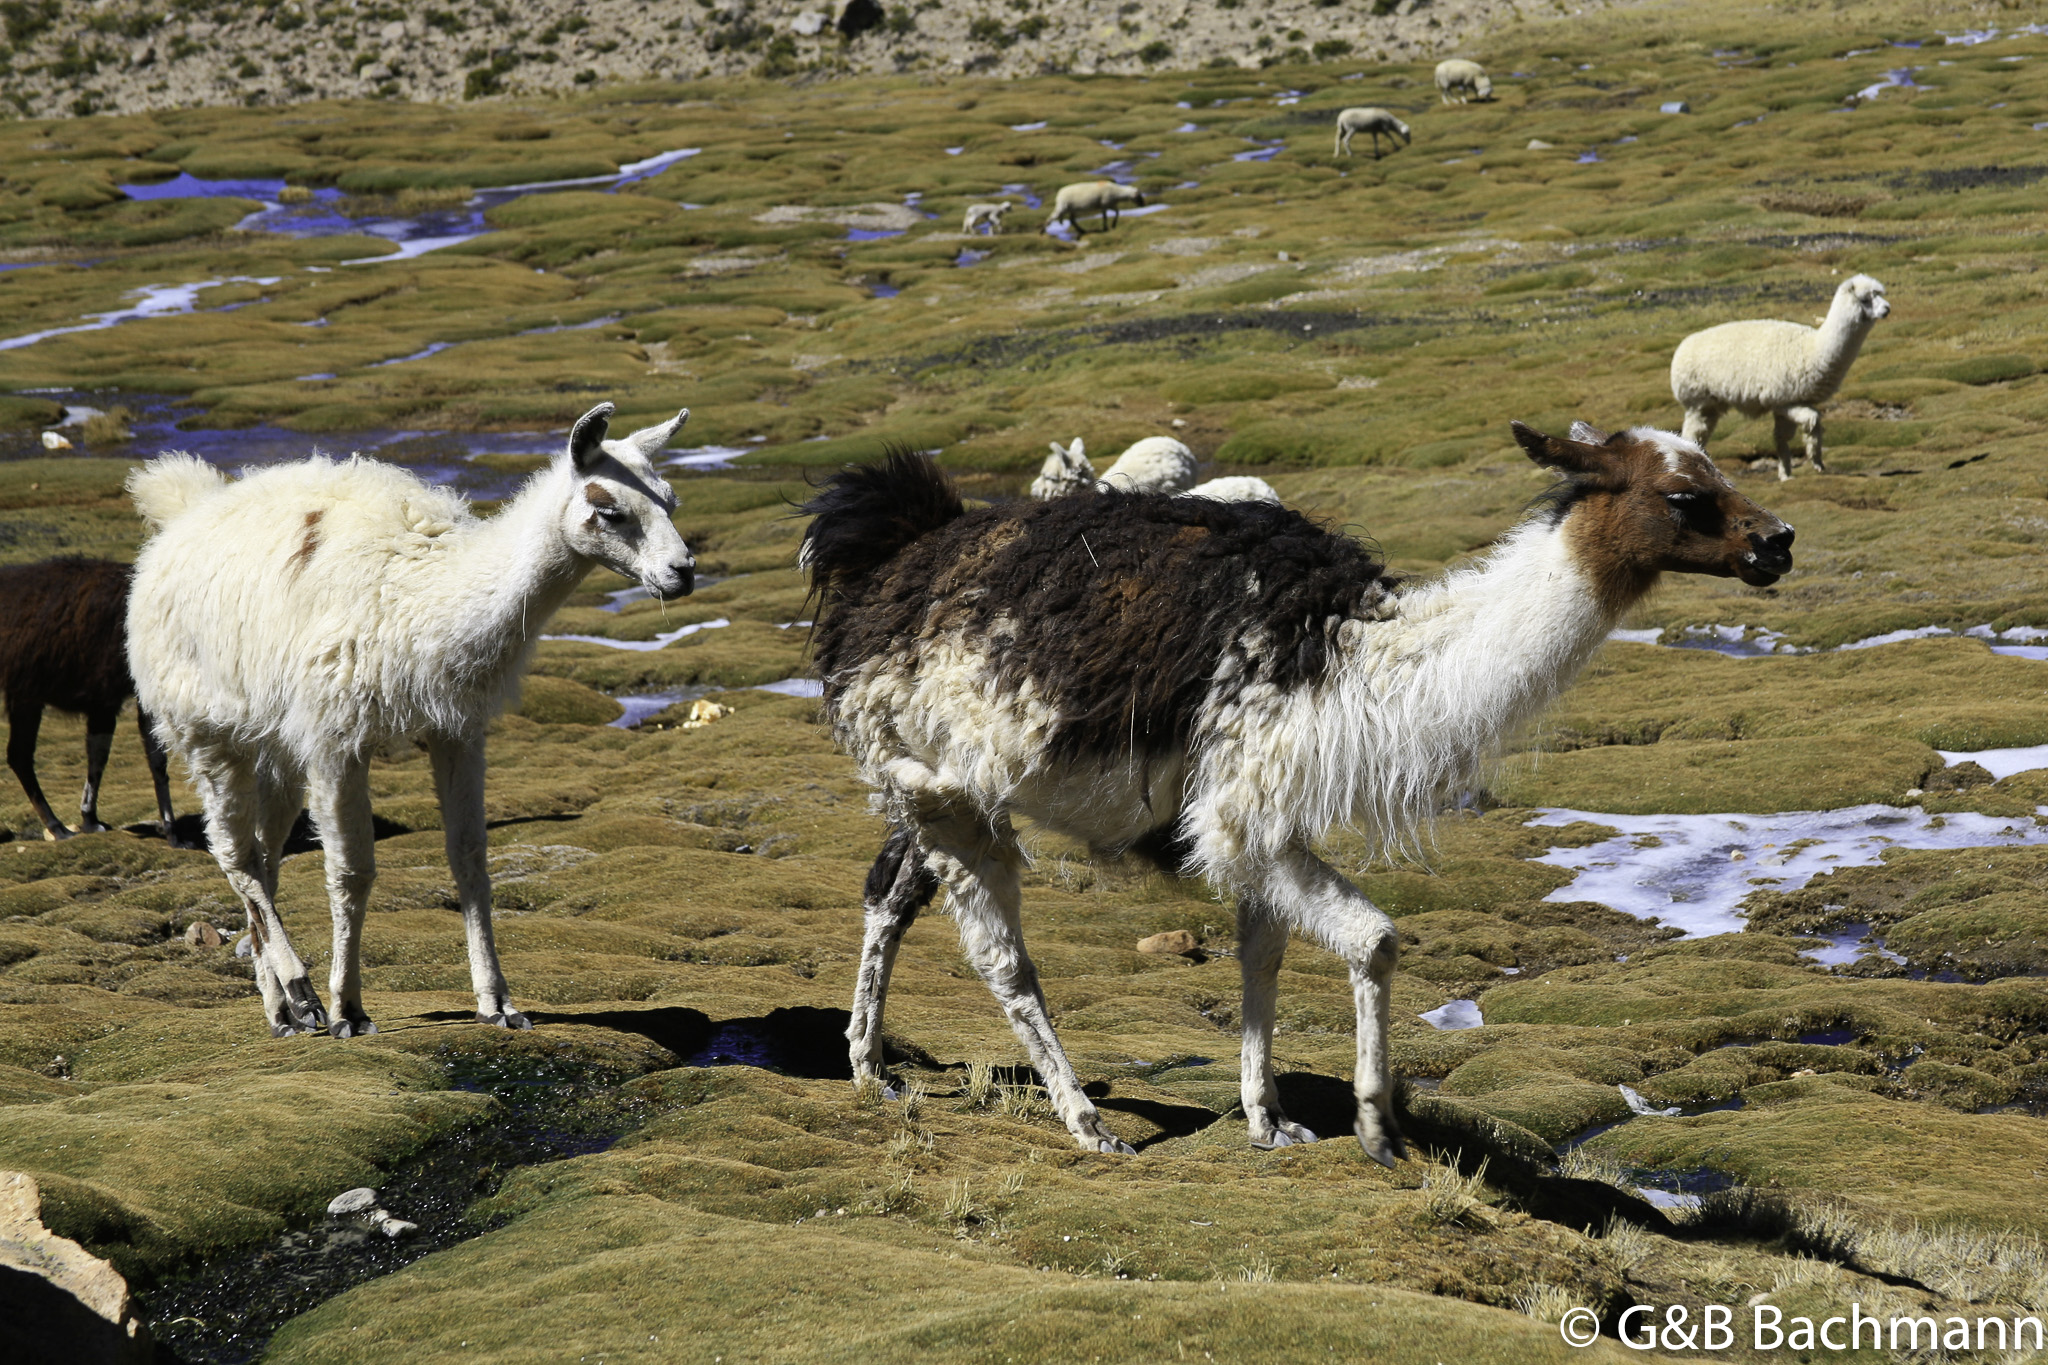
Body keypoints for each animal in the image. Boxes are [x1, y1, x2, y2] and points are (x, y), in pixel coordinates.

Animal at [0, 560, 184, 847]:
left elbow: (149, 759)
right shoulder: (106, 693)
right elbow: (107, 755)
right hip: (26, 692)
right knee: (20, 755)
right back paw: (57, 827)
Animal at [134, 403, 704, 1035]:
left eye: (671, 500)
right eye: (610, 510)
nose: (683, 571)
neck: (426, 597)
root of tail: (186, 513)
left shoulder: (456, 729)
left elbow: (470, 858)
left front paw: (498, 1003)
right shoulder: (336, 737)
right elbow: (352, 872)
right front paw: (348, 1009)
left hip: (274, 742)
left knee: (264, 856)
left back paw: (281, 1009)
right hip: (203, 728)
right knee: (236, 857)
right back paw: (302, 991)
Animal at [798, 429, 1794, 1162]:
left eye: (1718, 470)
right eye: (1685, 495)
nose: (1777, 541)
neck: (1368, 659)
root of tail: (892, 561)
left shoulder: (1255, 825)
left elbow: (1264, 954)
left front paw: (1271, 1118)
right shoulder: (1241, 808)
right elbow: (1376, 939)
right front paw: (1376, 1125)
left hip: (934, 777)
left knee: (889, 892)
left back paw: (869, 1066)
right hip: (945, 785)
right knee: (1001, 957)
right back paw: (1087, 1122)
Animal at [1671, 272, 1892, 480]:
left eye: (1880, 294)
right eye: (1865, 299)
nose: (1887, 309)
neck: (1812, 349)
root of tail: (1681, 349)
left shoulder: (1788, 402)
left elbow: (1783, 438)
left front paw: (1787, 474)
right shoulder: (1783, 399)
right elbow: (1812, 421)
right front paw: (1815, 462)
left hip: (1709, 405)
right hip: (1698, 401)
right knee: (1692, 434)